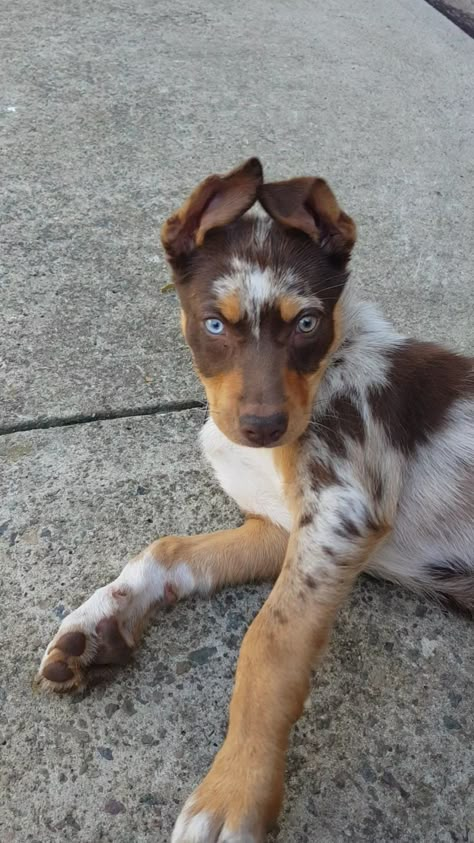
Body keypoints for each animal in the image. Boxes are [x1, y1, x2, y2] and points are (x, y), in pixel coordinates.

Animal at [38, 160, 474, 843]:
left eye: (307, 323)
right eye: (214, 323)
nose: (265, 427)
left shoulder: (342, 515)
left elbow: (268, 641)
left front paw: (233, 793)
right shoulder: (279, 526)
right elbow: (169, 549)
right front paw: (99, 622)